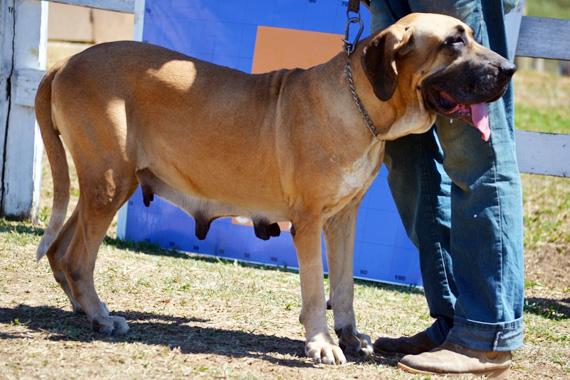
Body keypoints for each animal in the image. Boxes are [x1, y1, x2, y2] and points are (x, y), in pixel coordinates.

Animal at [36, 14, 516, 366]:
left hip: (108, 182)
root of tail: (66, 62)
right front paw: (322, 343)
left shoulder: (343, 218)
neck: (360, 105)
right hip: (110, 182)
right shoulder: (308, 221)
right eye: (453, 41)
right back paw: (102, 317)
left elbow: (344, 286)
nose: (509, 69)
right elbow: (316, 289)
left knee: (61, 251)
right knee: (78, 259)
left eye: (473, 36)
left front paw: (348, 336)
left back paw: (82, 309)